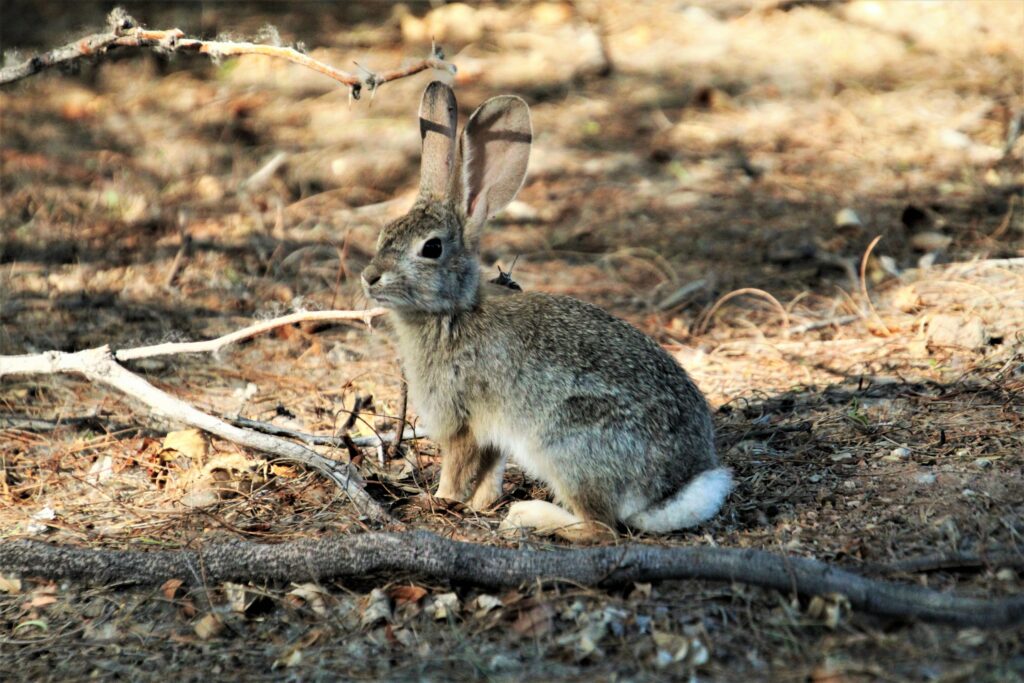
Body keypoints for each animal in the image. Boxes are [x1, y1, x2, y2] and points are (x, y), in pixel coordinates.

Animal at [361, 81, 731, 541]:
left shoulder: (461, 418)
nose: (369, 277)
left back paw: (529, 515)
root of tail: (668, 493)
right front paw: (481, 505)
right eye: (384, 232)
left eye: (431, 248)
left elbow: (456, 467)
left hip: (565, 443)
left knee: (600, 527)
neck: (453, 314)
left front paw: (441, 500)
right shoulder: (491, 434)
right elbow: (488, 471)